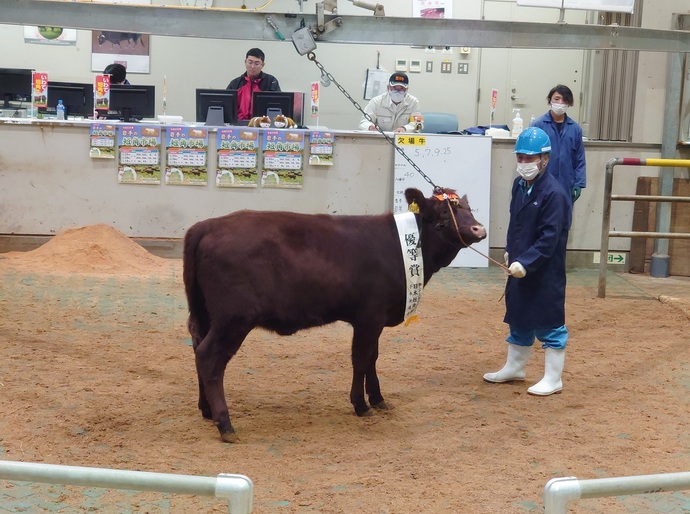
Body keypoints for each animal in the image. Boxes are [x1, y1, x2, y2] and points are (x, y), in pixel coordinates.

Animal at [183, 187, 484, 440]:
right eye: (444, 212)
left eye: (469, 208)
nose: (479, 228)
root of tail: (207, 225)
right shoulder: (369, 317)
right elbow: (361, 359)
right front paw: (361, 404)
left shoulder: (376, 319)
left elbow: (373, 357)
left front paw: (377, 398)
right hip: (233, 319)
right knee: (209, 358)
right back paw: (225, 424)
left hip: (206, 316)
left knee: (198, 349)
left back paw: (206, 409)